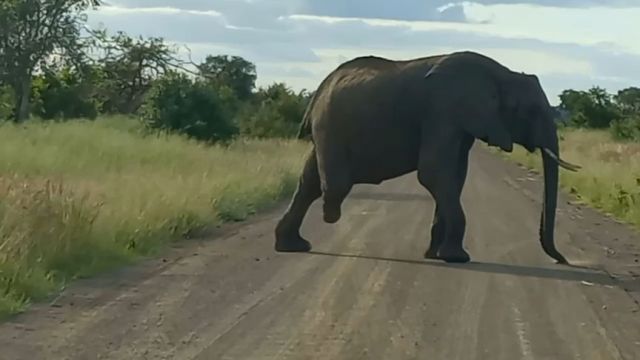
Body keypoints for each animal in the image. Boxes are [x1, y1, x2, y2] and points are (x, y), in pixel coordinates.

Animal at [272, 50, 584, 264]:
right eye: (531, 111)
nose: (561, 260)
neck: (502, 74)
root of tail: (318, 90)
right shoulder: (443, 111)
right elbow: (433, 172)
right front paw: (457, 258)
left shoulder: (460, 123)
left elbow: (454, 177)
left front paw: (436, 254)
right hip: (331, 125)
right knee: (330, 183)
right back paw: (329, 214)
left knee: (308, 182)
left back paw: (293, 246)